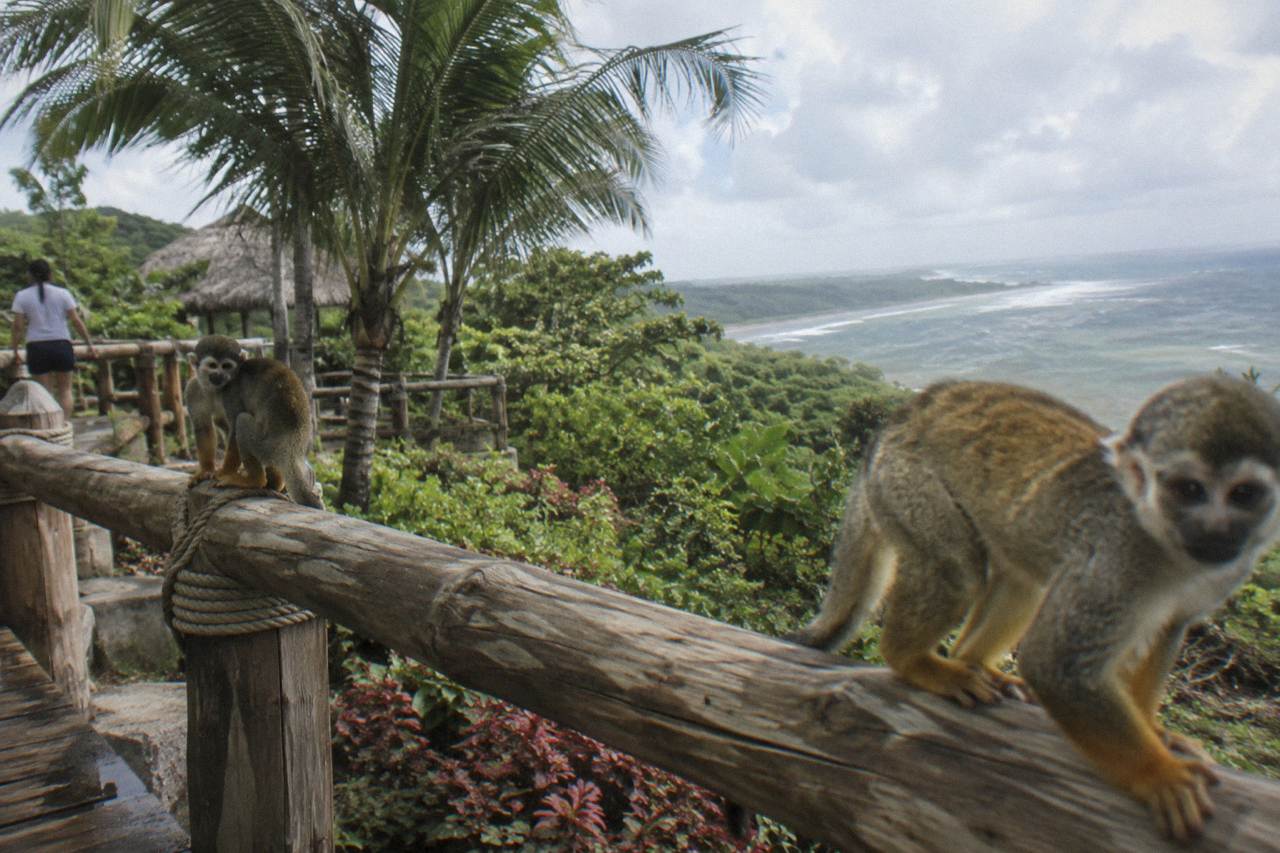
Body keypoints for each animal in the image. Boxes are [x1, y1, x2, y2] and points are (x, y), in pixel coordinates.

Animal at [188, 335, 324, 509]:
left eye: (226, 366)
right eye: (212, 366)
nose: (220, 375)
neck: (215, 390)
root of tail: (292, 447)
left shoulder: (230, 391)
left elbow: (233, 428)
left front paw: (224, 472)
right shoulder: (193, 389)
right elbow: (204, 427)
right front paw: (206, 470)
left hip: (267, 446)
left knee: (242, 421)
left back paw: (255, 480)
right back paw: (274, 482)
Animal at [788, 376, 1280, 841]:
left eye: (1244, 494)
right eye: (1188, 489)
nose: (1216, 530)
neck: (1167, 545)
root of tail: (904, 414)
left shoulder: (1223, 572)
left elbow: (1168, 627)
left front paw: (1154, 732)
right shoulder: (1114, 557)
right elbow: (1054, 664)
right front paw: (1159, 774)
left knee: (1023, 583)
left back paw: (971, 660)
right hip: (906, 480)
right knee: (957, 571)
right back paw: (912, 659)